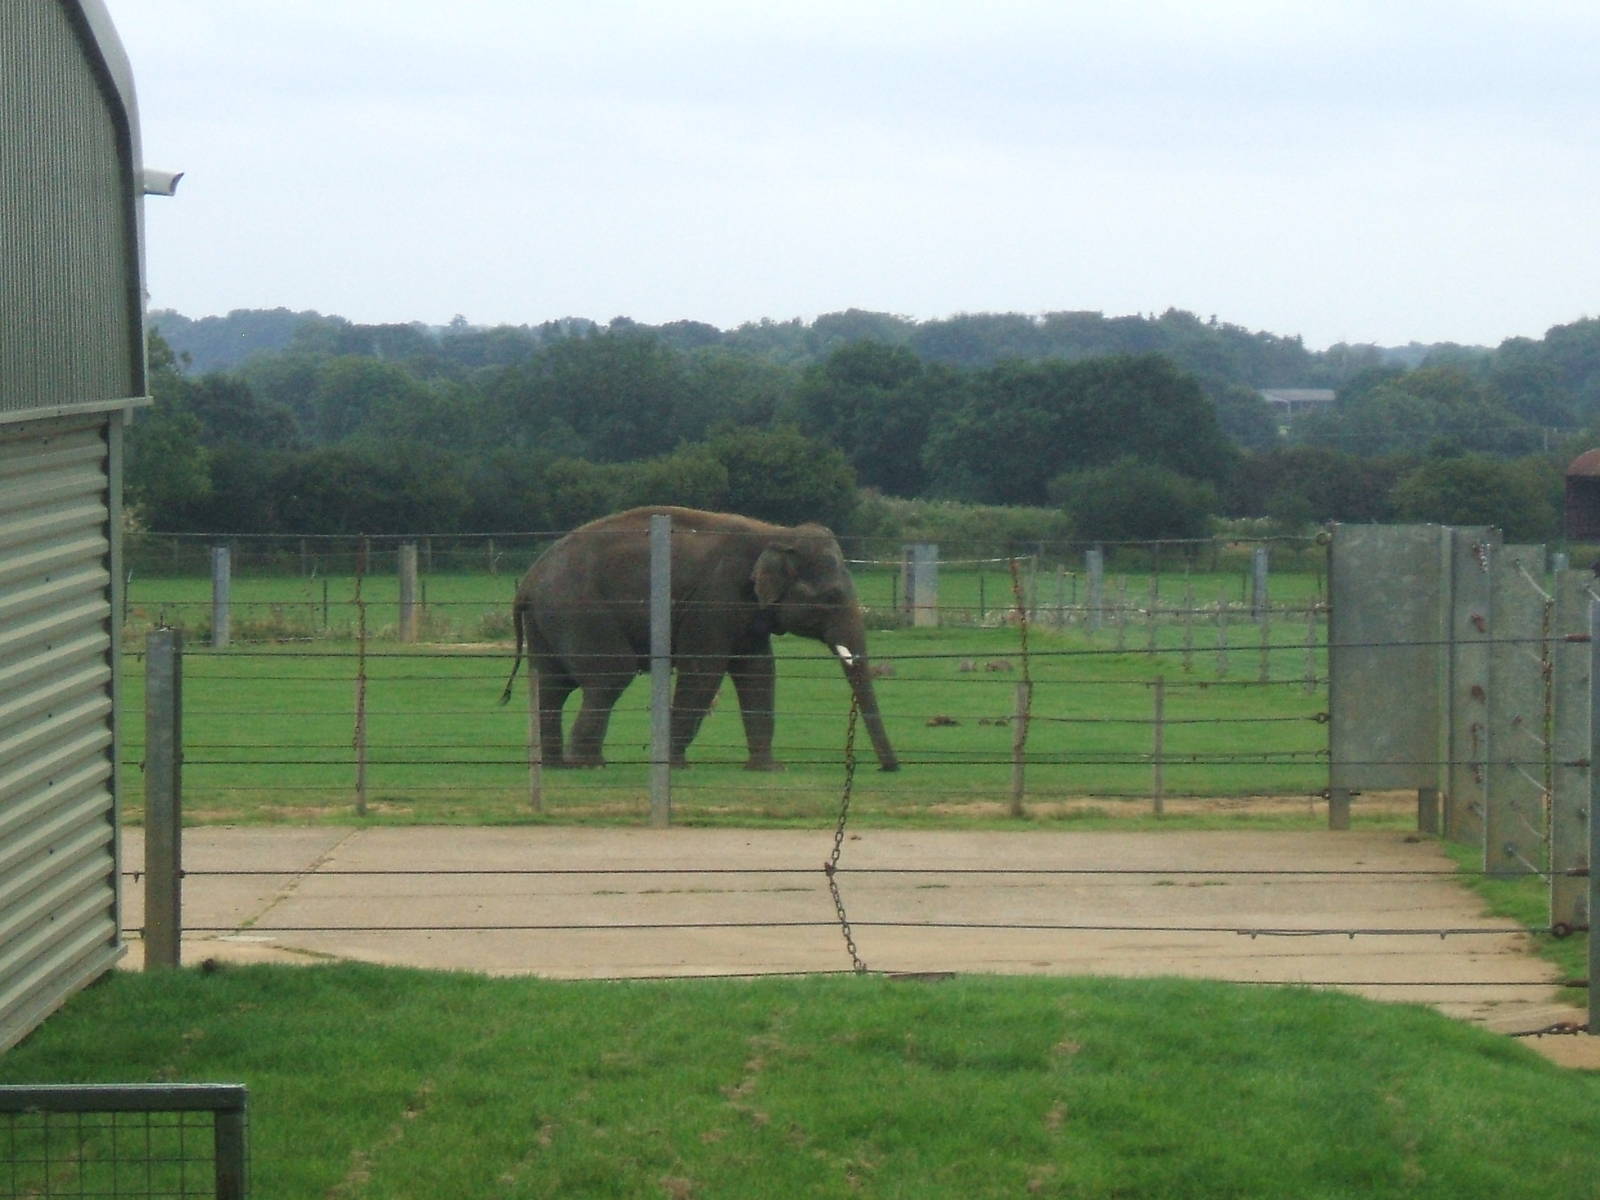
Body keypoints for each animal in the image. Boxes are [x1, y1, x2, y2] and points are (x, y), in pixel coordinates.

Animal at [498, 506, 899, 772]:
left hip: (549, 618)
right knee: (610, 676)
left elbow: (758, 674)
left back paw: (556, 765)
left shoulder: (746, 612)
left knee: (552, 685)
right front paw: (675, 766)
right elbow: (704, 670)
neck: (775, 532)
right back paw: (590, 764)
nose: (888, 768)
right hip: (580, 610)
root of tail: (528, 580)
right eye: (831, 597)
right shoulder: (715, 598)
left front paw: (768, 769)